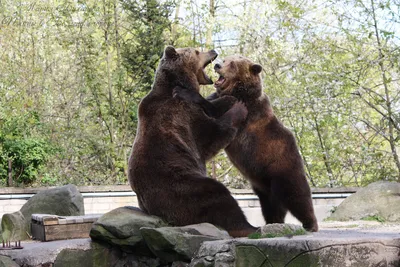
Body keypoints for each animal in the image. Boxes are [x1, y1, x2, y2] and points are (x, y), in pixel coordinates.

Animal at [129, 47, 260, 238]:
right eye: (197, 51)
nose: (213, 50)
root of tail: (156, 211)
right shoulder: (183, 115)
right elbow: (211, 136)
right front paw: (236, 105)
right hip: (184, 188)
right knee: (218, 196)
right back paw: (249, 226)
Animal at [175, 55, 318, 232]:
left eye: (232, 64)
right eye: (226, 59)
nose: (217, 65)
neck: (239, 91)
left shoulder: (245, 108)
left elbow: (214, 110)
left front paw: (183, 91)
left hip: (284, 167)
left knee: (297, 195)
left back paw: (310, 224)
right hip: (264, 185)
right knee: (271, 205)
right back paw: (272, 222)